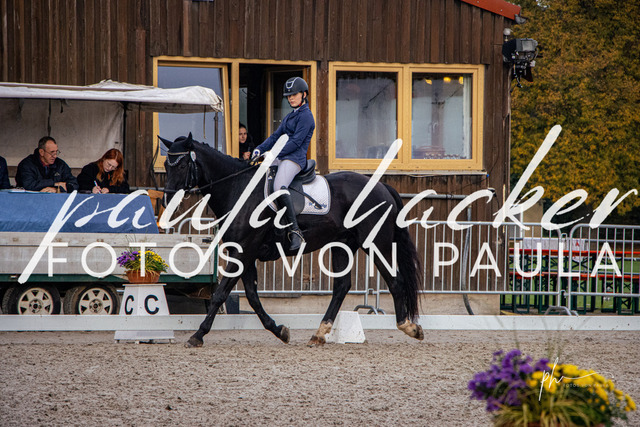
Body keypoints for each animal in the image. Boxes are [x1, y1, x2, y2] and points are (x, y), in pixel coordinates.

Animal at [162, 134, 424, 347]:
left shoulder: (243, 251)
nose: (167, 200)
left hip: (376, 243)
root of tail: (381, 187)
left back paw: (409, 327)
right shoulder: (245, 253)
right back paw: (319, 334)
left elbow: (221, 294)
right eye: (165, 164)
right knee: (341, 287)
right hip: (342, 245)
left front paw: (197, 335)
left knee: (395, 281)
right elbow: (252, 297)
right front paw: (279, 331)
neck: (238, 188)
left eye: (183, 164)